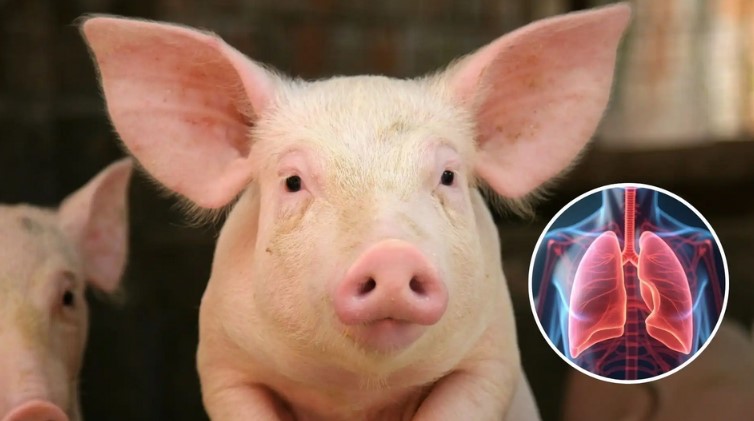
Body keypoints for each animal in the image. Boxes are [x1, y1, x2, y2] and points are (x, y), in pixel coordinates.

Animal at [80, 4, 630, 420]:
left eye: (447, 176)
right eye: (293, 182)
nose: (391, 256)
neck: (358, 394)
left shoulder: (490, 358)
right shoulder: (223, 363)